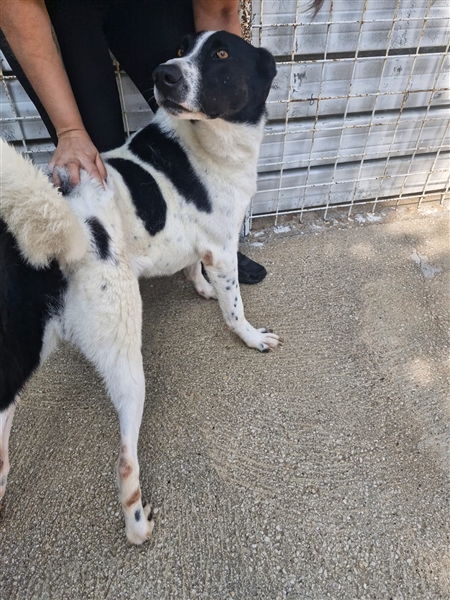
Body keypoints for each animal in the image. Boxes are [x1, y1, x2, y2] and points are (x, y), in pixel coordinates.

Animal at [0, 31, 279, 544]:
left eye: (220, 53)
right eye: (184, 48)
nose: (162, 74)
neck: (207, 137)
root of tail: (63, 226)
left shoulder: (203, 248)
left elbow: (193, 267)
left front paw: (201, 289)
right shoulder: (223, 248)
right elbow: (234, 308)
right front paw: (250, 336)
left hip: (21, 351)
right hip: (125, 350)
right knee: (126, 461)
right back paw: (136, 524)